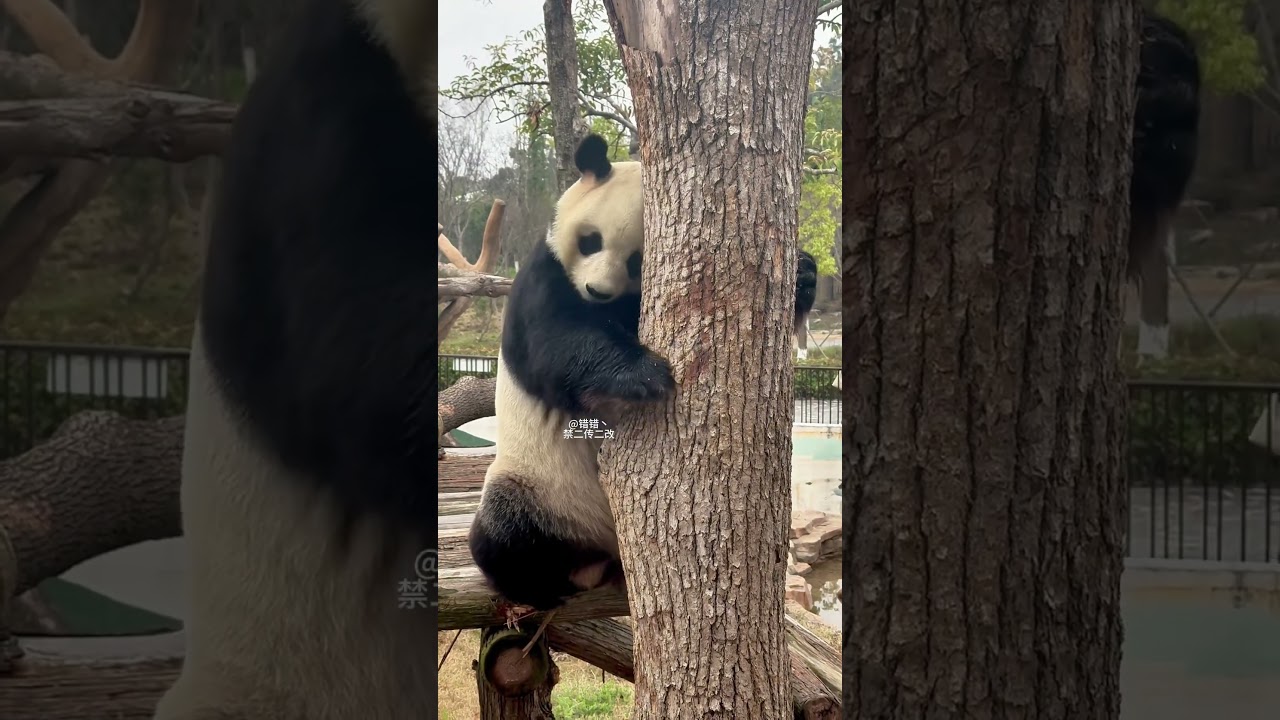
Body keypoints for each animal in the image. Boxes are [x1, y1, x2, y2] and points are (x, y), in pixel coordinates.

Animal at [467, 134, 819, 630]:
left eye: (637, 261)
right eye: (591, 241)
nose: (596, 291)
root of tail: (597, 557)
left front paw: (803, 274)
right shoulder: (543, 276)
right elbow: (552, 340)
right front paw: (646, 375)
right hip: (537, 485)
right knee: (502, 535)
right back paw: (541, 586)